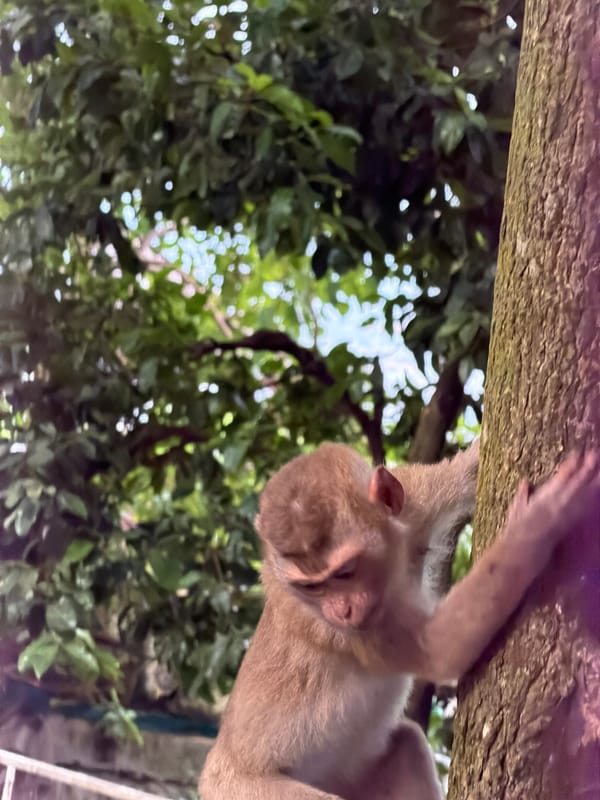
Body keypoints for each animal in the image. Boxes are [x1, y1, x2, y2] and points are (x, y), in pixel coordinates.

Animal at [199, 441, 599, 800]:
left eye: (345, 572)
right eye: (311, 587)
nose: (342, 611)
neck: (393, 562)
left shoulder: (416, 498)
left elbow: (466, 469)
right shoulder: (349, 630)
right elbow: (438, 651)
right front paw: (539, 522)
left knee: (406, 743)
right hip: (244, 791)